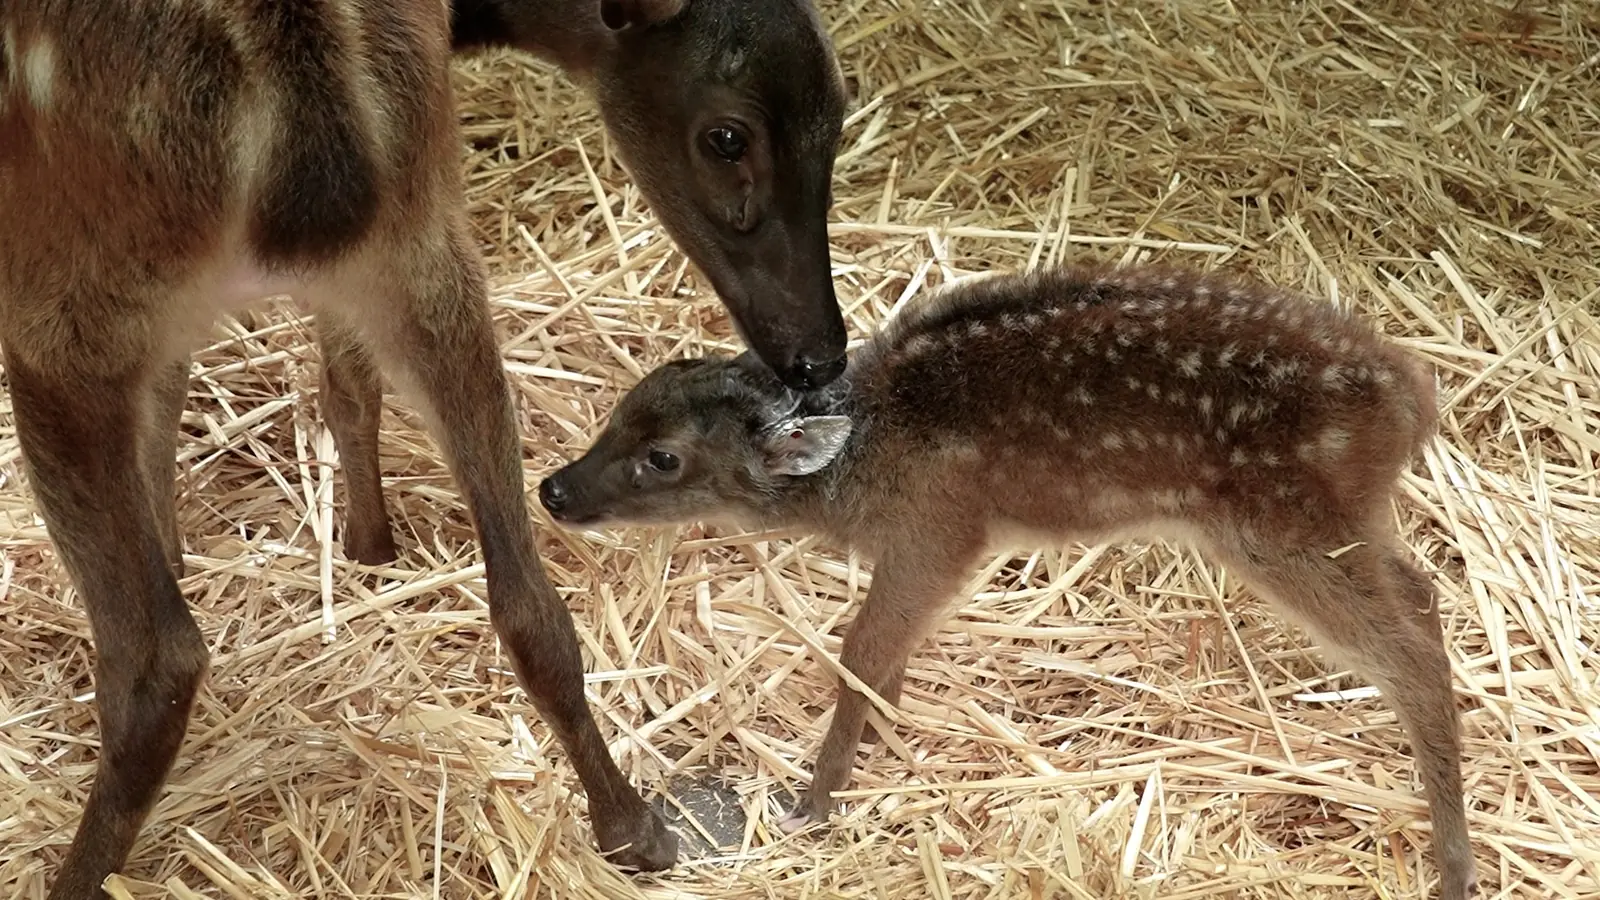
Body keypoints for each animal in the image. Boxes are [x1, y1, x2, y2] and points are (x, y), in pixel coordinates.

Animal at [0, 1, 850, 896]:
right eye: (727, 138)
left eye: (838, 114)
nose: (820, 355)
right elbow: (338, 383)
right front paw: (368, 548)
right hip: (426, 257)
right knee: (530, 602)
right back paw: (636, 829)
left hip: (70, 311)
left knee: (155, 659)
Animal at [541, 263, 1476, 900]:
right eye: (624, 407)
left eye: (664, 458)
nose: (554, 489)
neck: (864, 461)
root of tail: (1411, 398)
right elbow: (885, 654)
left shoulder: (941, 528)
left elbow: (860, 649)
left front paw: (814, 801)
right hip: (1342, 520)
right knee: (1423, 591)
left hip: (1278, 526)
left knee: (1408, 649)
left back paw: (1454, 865)